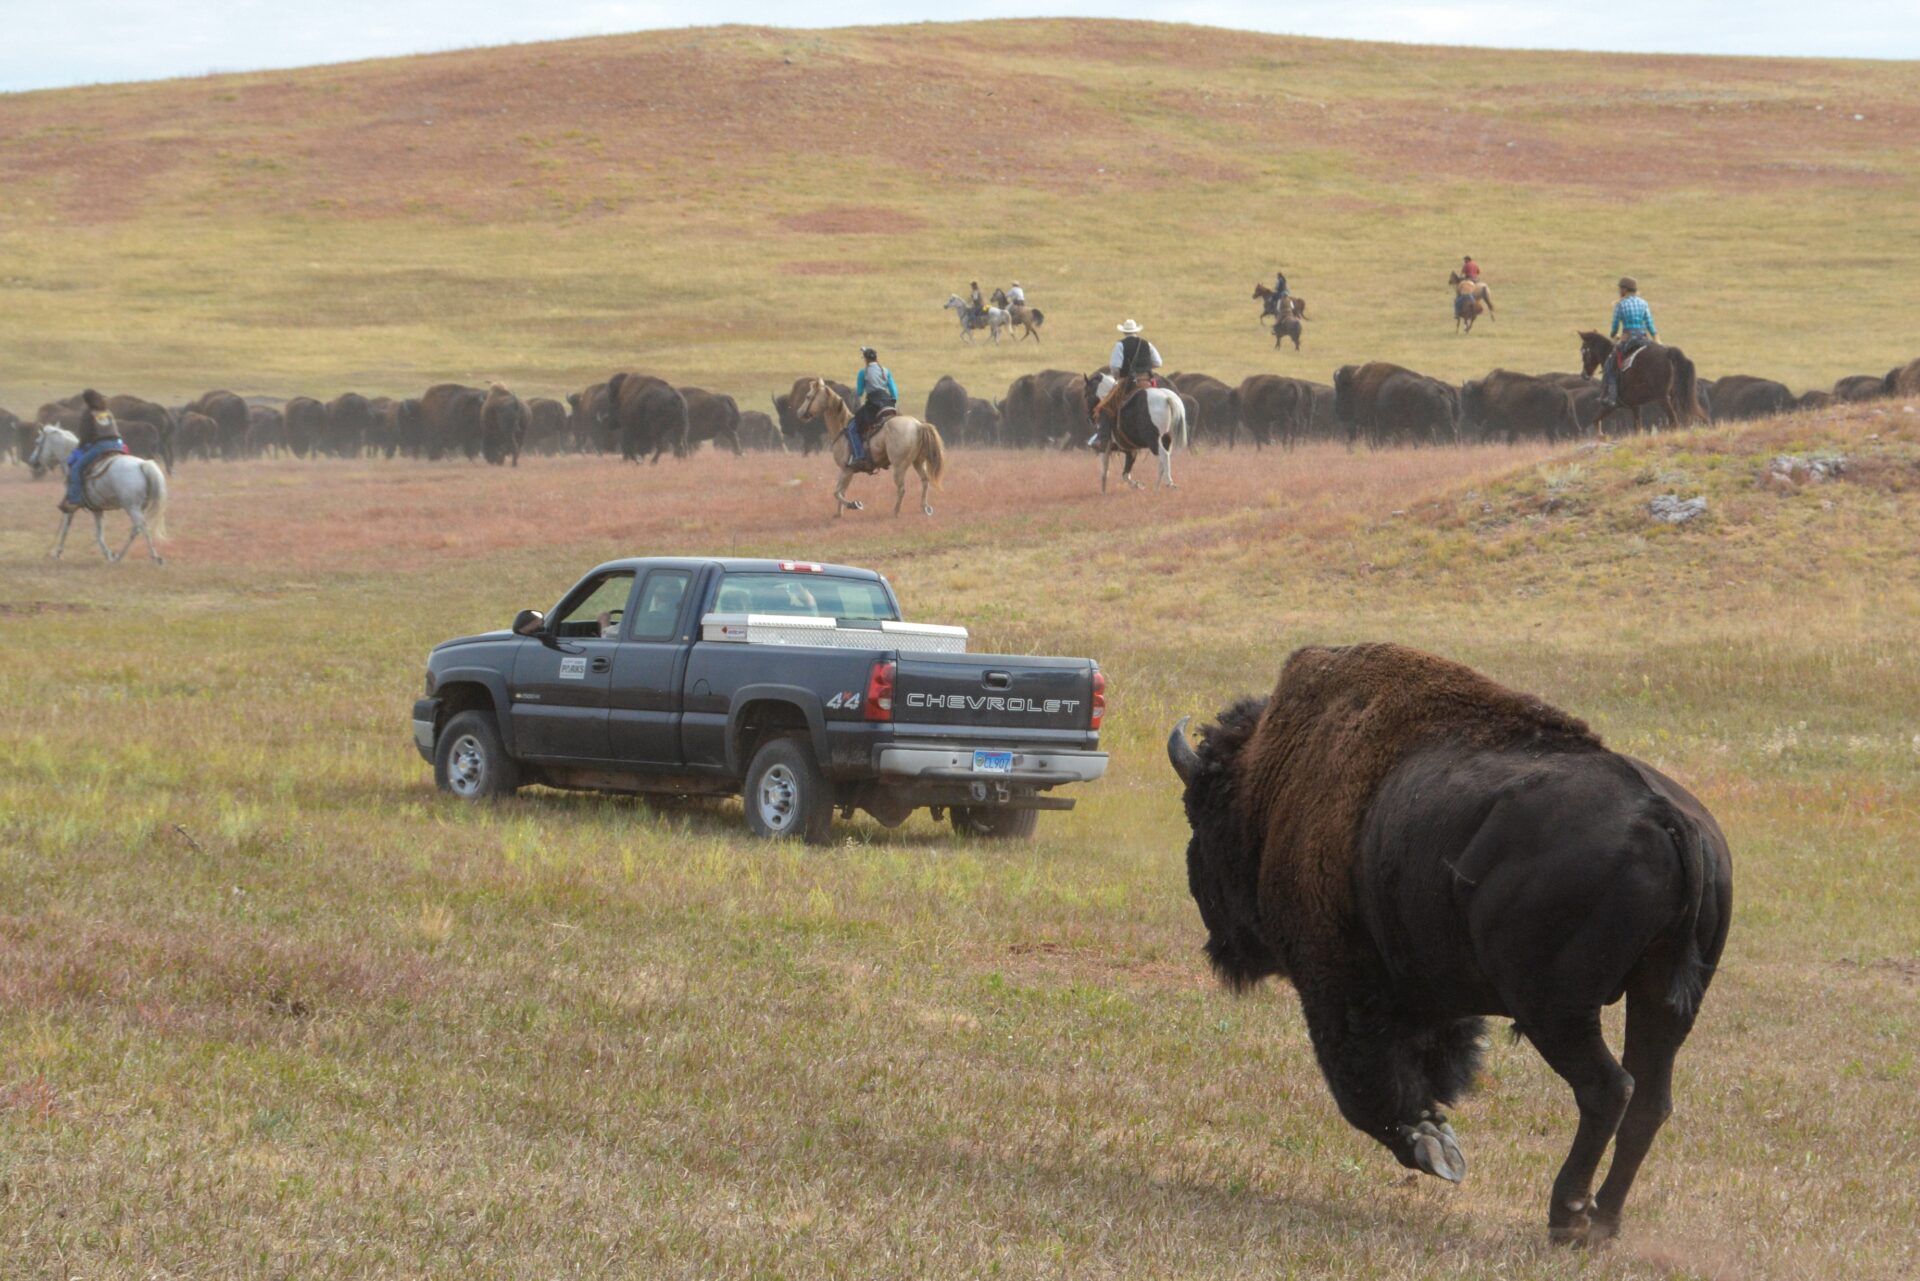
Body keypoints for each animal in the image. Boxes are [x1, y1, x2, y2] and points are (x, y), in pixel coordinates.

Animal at [1168, 643, 1732, 1245]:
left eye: (1199, 812)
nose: (1218, 939)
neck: (1272, 781)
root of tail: (1666, 817)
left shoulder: (1338, 988)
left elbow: (1363, 1085)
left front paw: (1434, 1147)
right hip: (1664, 1004)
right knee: (1650, 1099)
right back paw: (1603, 1223)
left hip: (1556, 1011)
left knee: (1608, 1089)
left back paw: (1567, 1217)